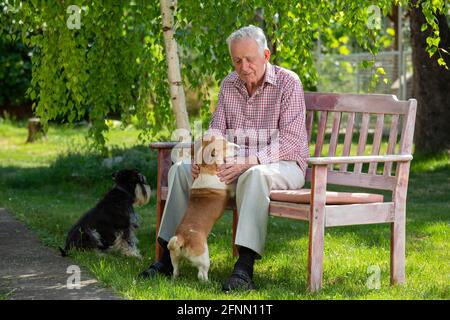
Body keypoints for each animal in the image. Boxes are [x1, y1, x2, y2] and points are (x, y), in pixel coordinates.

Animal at [168, 136, 239, 282]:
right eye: (225, 146)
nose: (239, 147)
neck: (205, 168)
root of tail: (182, 238)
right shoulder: (230, 188)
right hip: (204, 259)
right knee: (201, 273)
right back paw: (208, 282)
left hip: (175, 258)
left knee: (175, 269)